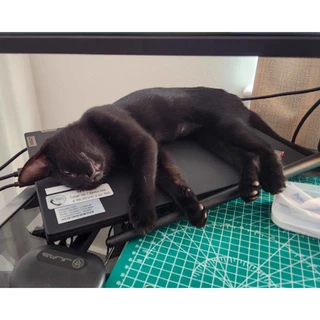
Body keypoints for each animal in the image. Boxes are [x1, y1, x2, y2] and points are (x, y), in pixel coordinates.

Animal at [18, 86, 312, 234]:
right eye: (69, 176)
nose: (89, 176)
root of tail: (236, 98)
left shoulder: (143, 143)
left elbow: (143, 178)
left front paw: (143, 213)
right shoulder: (157, 151)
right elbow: (170, 179)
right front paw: (193, 209)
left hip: (223, 123)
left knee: (265, 146)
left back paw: (274, 177)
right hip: (210, 137)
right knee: (246, 155)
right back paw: (249, 186)